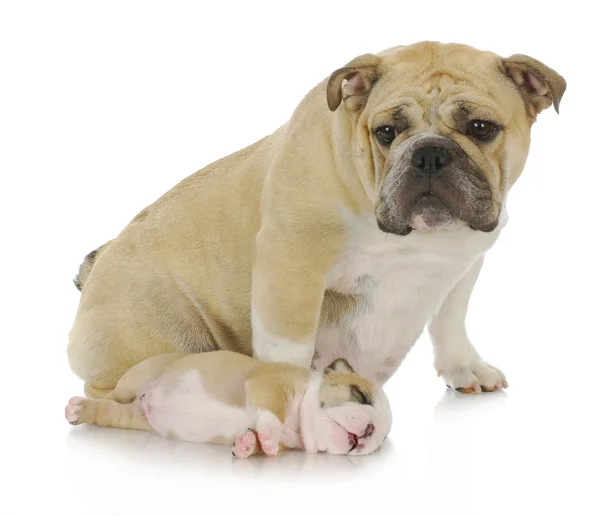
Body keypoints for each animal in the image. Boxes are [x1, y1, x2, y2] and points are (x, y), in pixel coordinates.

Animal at [63, 352, 392, 458]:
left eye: (380, 440)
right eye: (360, 395)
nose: (371, 430)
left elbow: (253, 438)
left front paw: (248, 444)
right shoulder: (270, 383)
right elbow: (271, 412)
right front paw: (268, 436)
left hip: (133, 417)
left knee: (110, 412)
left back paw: (83, 412)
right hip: (135, 379)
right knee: (109, 397)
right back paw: (79, 405)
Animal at [68, 43, 564, 400]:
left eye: (481, 128)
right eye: (386, 132)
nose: (428, 154)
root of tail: (96, 269)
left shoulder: (463, 264)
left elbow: (450, 320)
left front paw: (464, 368)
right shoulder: (291, 269)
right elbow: (289, 347)